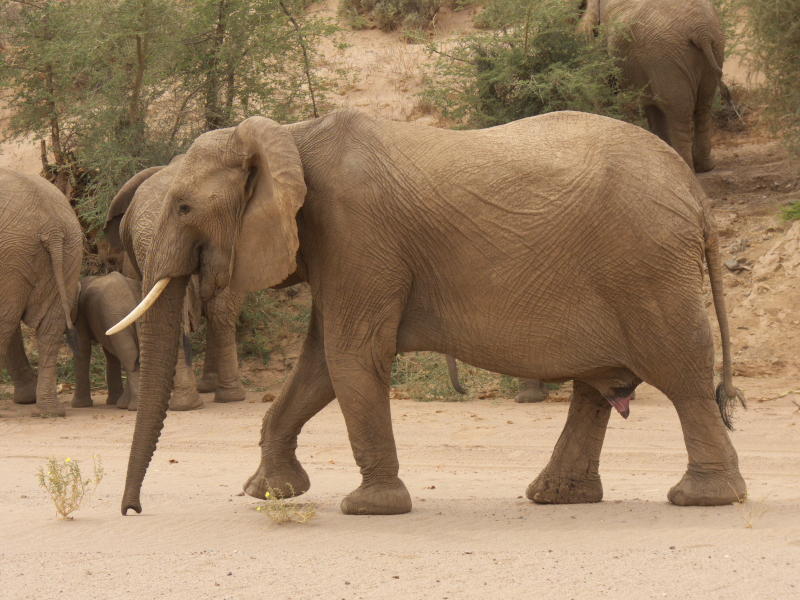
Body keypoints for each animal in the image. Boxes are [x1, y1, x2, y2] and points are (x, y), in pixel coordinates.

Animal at [70, 272, 143, 410]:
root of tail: (133, 299)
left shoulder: (80, 315)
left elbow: (82, 348)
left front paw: (78, 405)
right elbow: (110, 354)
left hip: (116, 317)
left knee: (128, 356)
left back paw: (131, 406)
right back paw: (124, 404)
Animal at [578, 0, 728, 173]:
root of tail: (701, 30)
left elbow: (604, 83)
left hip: (665, 55)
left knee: (679, 111)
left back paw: (686, 168)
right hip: (712, 48)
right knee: (703, 104)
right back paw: (704, 167)